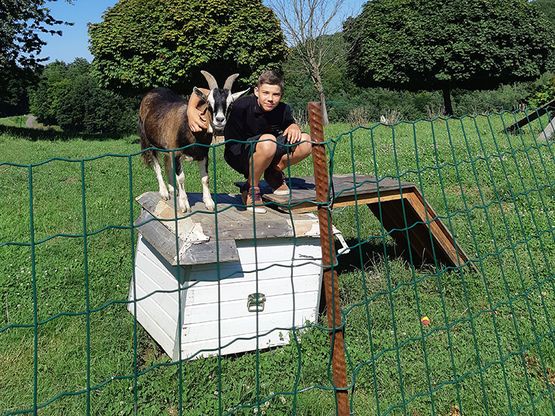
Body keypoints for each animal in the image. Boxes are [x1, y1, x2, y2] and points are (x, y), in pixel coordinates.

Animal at [138, 70, 249, 211]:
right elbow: (181, 178)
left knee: (167, 163)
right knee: (156, 165)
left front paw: (209, 202)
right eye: (209, 103)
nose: (219, 120)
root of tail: (151, 92)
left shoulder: (203, 154)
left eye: (230, 104)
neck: (189, 127)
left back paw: (173, 190)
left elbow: (205, 178)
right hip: (148, 141)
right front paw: (184, 204)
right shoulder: (176, 153)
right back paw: (164, 192)